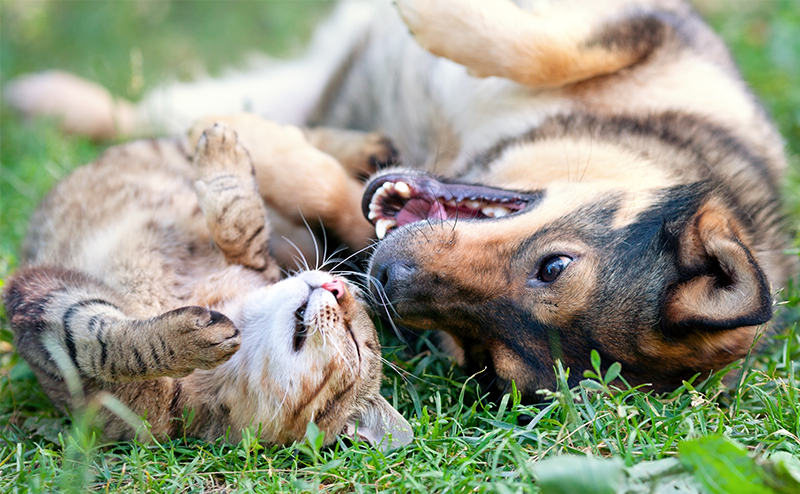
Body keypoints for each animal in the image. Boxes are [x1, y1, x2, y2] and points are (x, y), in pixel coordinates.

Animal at [1, 121, 412, 450]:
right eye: (354, 297)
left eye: (356, 343)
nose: (337, 285)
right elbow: (241, 222)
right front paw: (222, 154)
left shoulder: (40, 302)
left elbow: (103, 346)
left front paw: (185, 340)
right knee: (301, 143)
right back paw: (368, 148)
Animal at [4, 0, 792, 400]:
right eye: (555, 266)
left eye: (484, 355)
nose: (385, 279)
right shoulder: (650, 29)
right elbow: (544, 44)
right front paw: (431, 14)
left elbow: (334, 193)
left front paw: (259, 147)